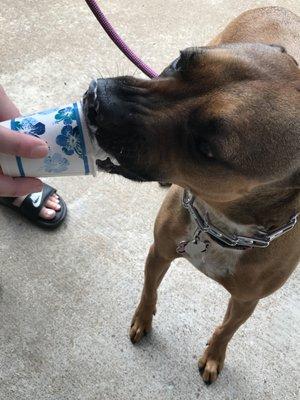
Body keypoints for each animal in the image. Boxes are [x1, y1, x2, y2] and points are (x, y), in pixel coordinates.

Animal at [82, 6, 300, 384]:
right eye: (179, 61)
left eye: (205, 148)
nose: (97, 98)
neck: (221, 224)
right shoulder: (159, 251)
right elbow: (149, 290)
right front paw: (142, 320)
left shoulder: (247, 301)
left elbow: (227, 329)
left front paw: (214, 356)